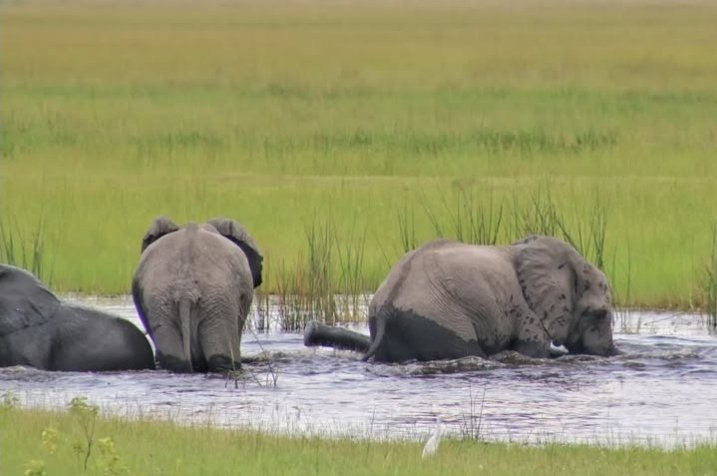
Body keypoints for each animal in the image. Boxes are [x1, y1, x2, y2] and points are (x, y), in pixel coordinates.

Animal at [302, 236, 616, 362]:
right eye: (599, 314)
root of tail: (386, 307)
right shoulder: (527, 313)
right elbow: (532, 350)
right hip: (443, 318)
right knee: (468, 351)